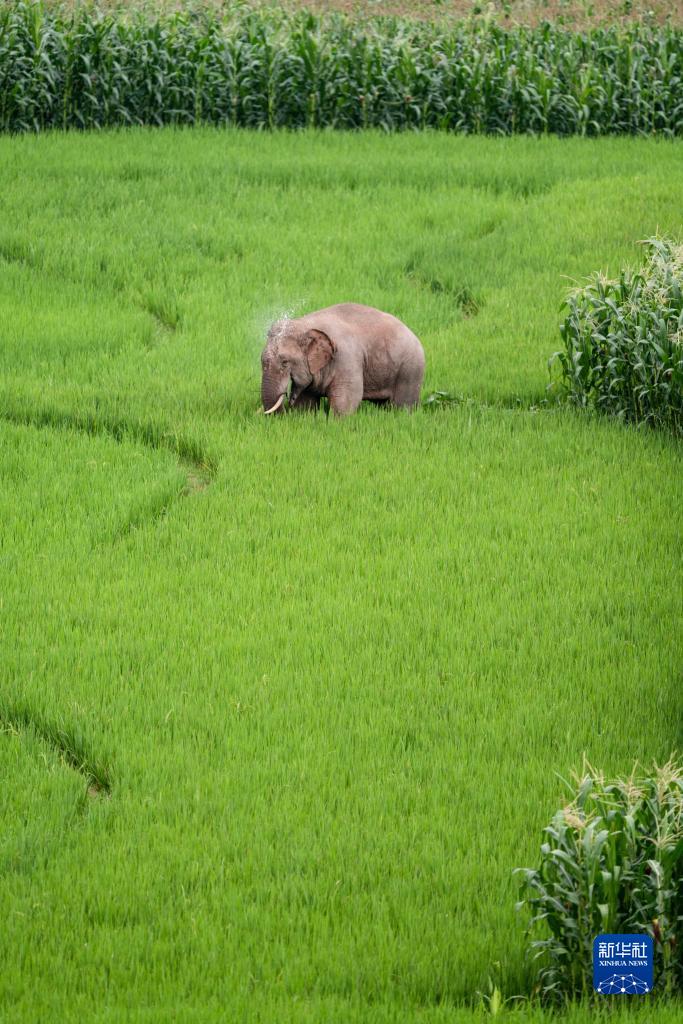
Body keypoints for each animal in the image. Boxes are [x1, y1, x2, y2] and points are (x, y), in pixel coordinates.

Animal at [260, 303, 423, 415]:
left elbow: (348, 398)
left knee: (402, 406)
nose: (288, 403)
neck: (306, 324)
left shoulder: (346, 359)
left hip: (410, 370)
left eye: (285, 362)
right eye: (261, 361)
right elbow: (306, 401)